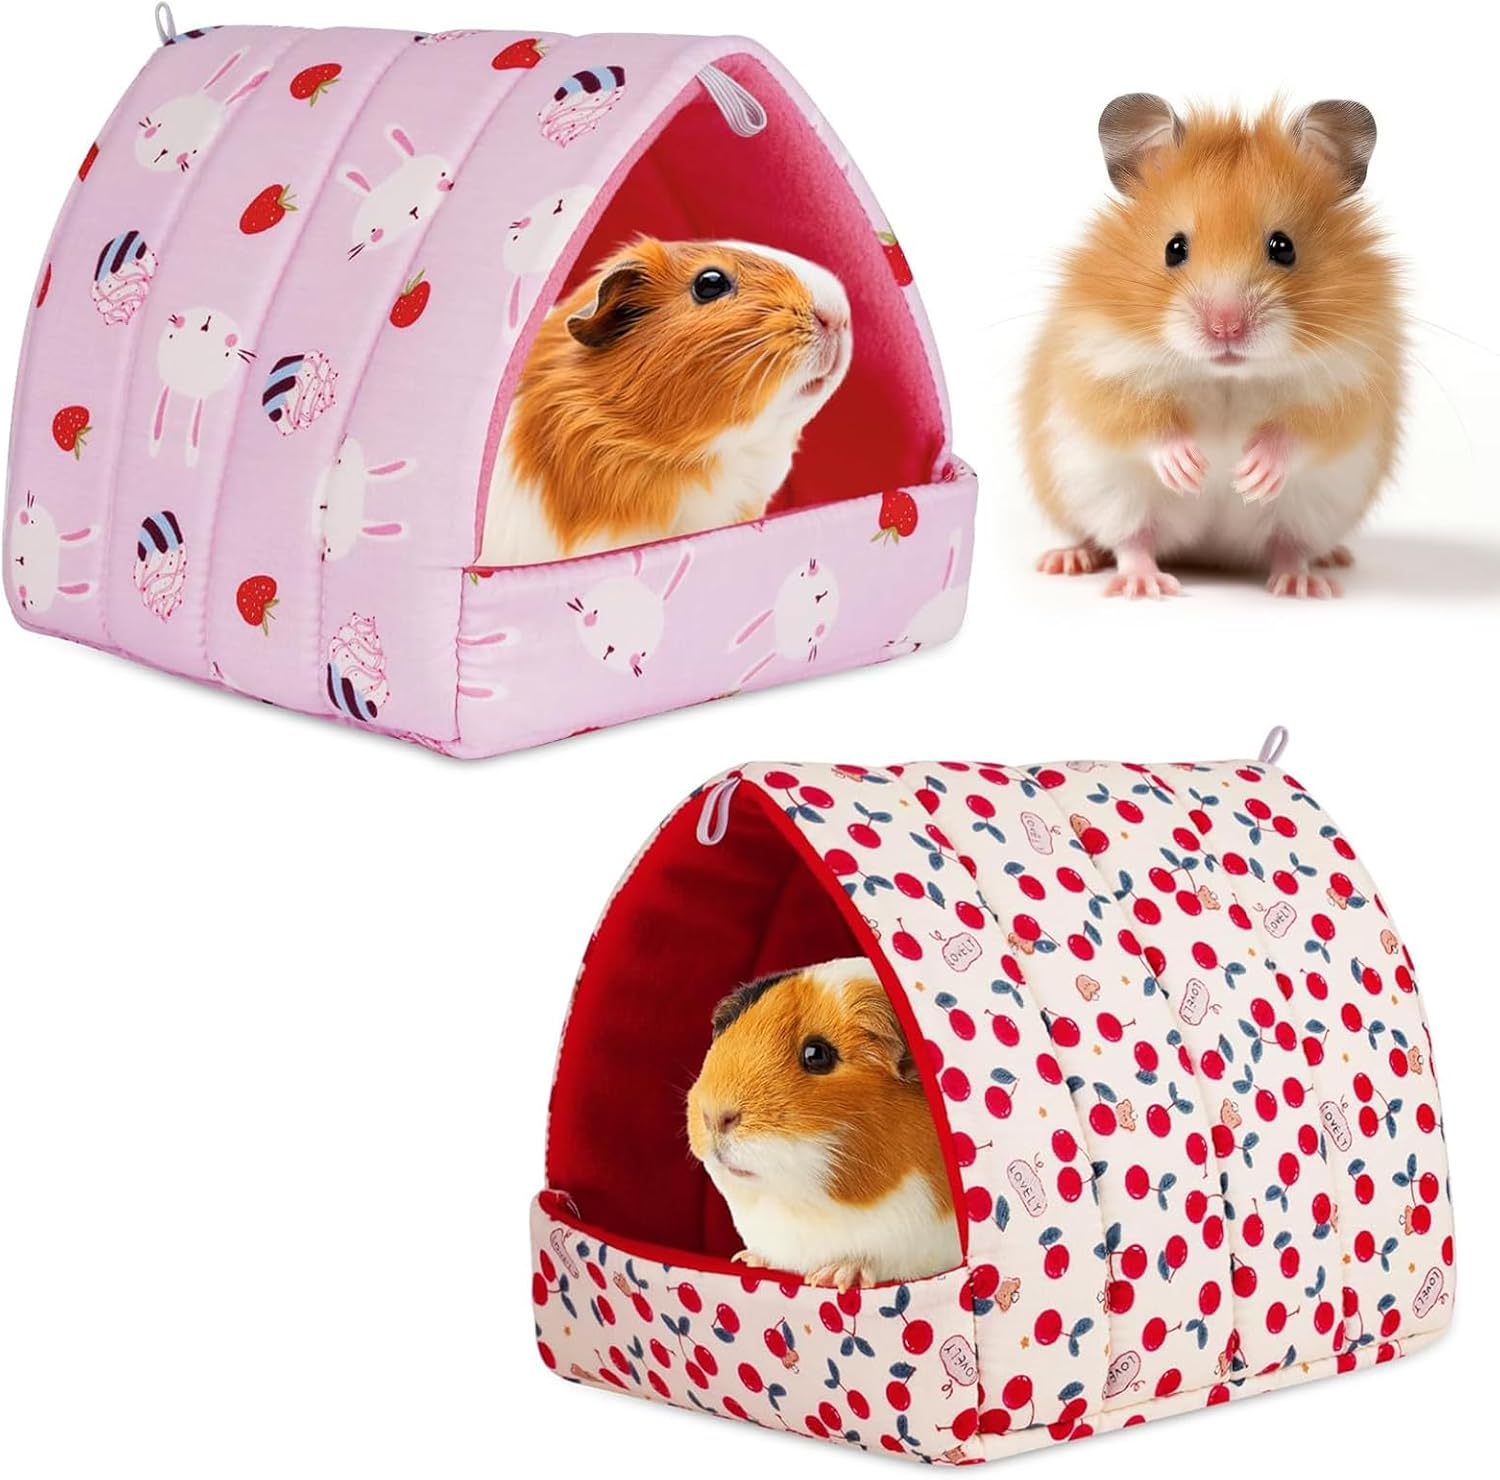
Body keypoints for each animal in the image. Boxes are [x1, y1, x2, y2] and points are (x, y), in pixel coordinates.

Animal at [1021, 96, 1403, 598]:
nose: (1226, 328)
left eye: (1283, 247)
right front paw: (1193, 469)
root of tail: (1209, 554)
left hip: (1313, 508)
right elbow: (1145, 424)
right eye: (1174, 248)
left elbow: (1299, 432)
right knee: (1130, 541)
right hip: (1108, 493)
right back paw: (1116, 576)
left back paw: (1308, 579)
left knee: (1290, 545)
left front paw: (1249, 475)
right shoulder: (1098, 368)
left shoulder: (1349, 387)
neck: (1227, 376)